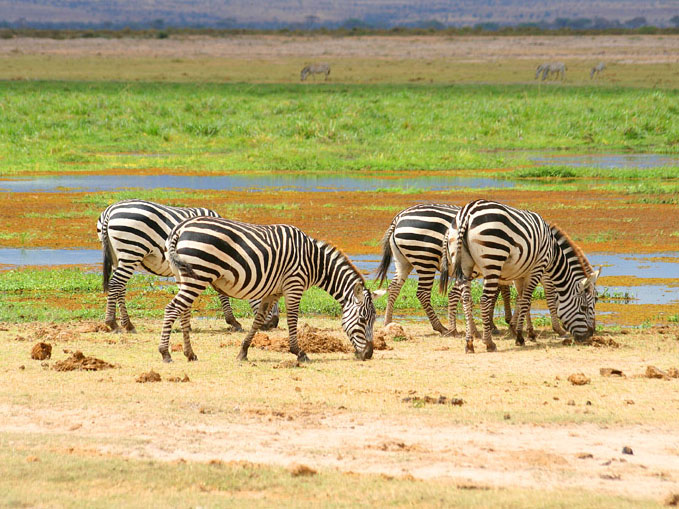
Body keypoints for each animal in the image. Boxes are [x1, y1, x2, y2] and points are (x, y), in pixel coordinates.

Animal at [96, 200, 278, 336]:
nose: (274, 324)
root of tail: (110, 210)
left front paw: (186, 323)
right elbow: (222, 294)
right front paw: (233, 321)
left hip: (118, 255)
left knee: (120, 287)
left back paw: (127, 324)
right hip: (132, 250)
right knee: (116, 284)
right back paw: (113, 323)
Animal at [161, 216, 382, 364]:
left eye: (373, 320)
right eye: (363, 320)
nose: (368, 355)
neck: (314, 262)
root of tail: (180, 228)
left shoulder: (273, 291)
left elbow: (259, 320)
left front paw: (243, 351)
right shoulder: (294, 284)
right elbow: (292, 319)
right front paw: (299, 353)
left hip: (184, 276)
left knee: (183, 311)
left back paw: (190, 354)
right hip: (198, 275)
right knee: (173, 309)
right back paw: (165, 353)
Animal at [452, 199, 600, 354]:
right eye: (584, 307)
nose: (590, 334)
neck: (553, 253)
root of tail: (468, 213)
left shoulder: (520, 273)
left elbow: (522, 299)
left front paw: (522, 330)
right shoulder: (539, 269)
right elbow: (533, 299)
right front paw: (522, 335)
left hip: (466, 266)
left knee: (466, 299)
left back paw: (469, 342)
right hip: (492, 259)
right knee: (482, 299)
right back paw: (488, 342)